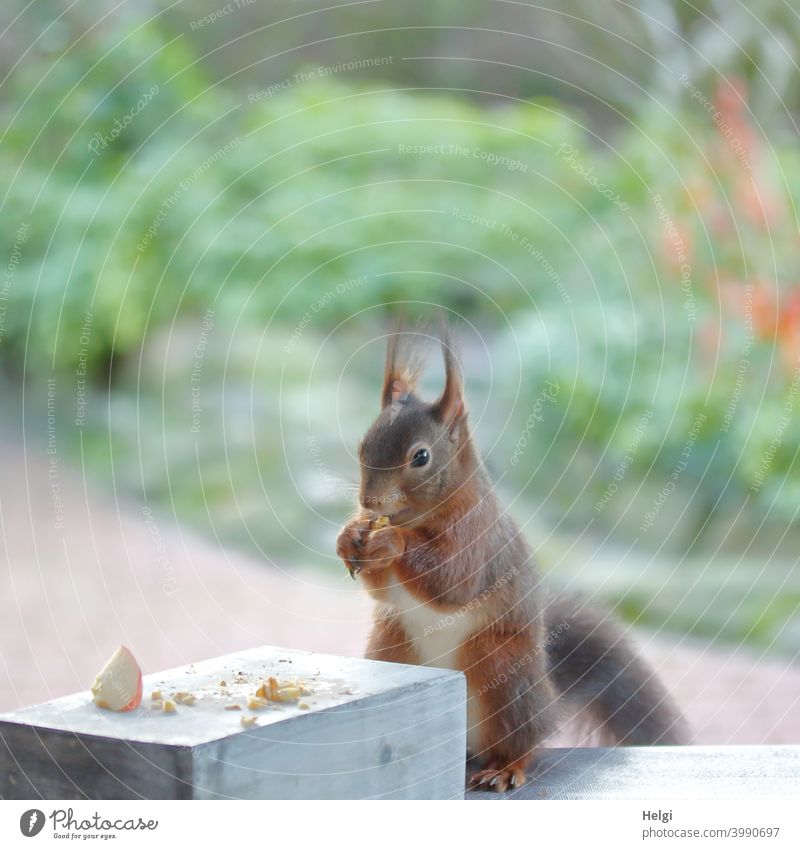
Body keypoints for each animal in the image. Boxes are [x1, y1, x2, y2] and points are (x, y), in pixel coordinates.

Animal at [334, 322, 684, 788]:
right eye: (362, 445)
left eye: (421, 456)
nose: (369, 502)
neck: (417, 518)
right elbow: (383, 593)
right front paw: (349, 536)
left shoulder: (477, 538)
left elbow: (452, 582)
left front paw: (392, 543)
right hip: (392, 648)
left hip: (501, 672)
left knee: (523, 741)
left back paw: (505, 768)